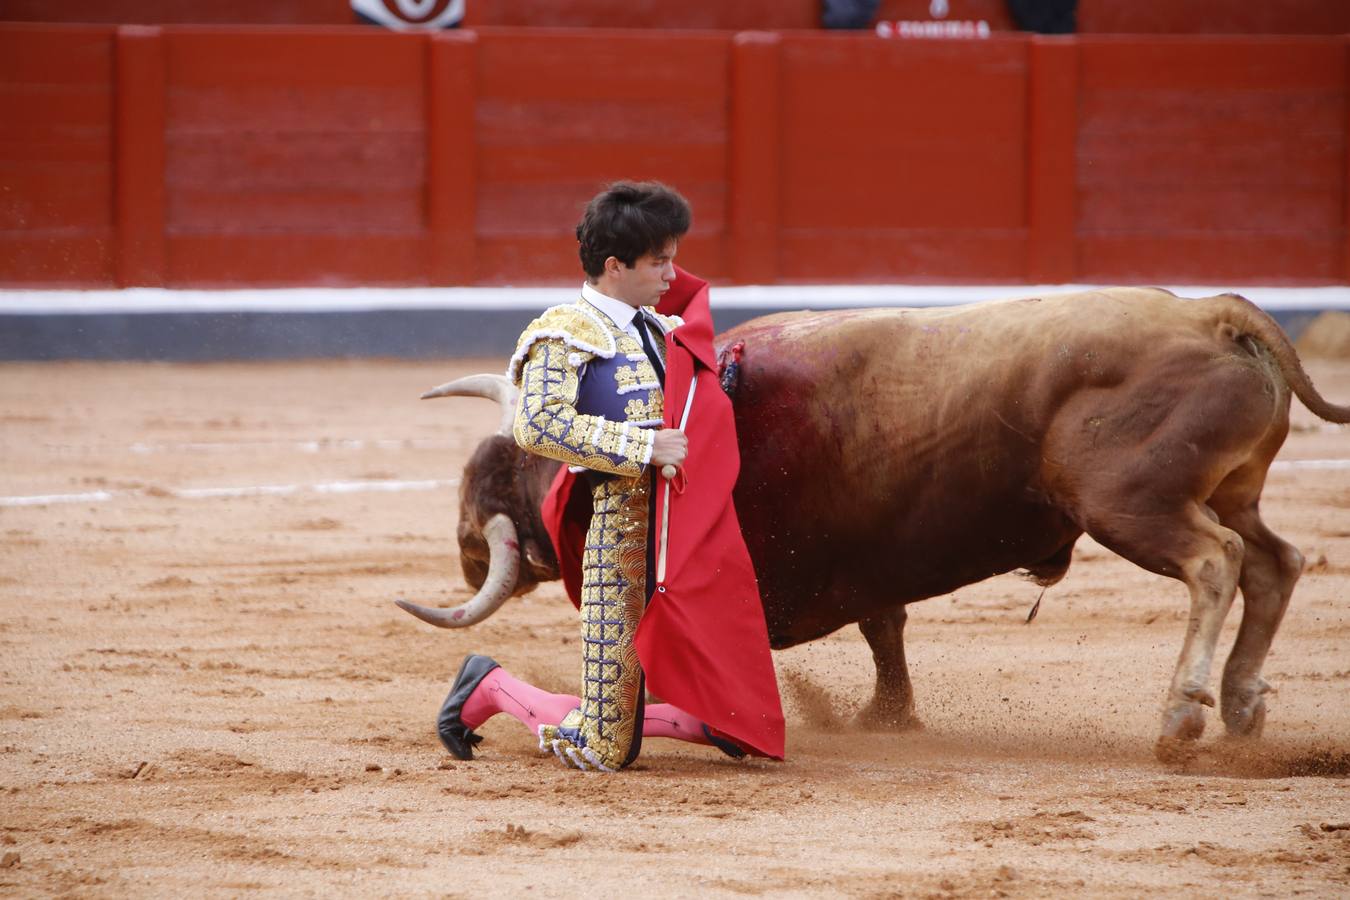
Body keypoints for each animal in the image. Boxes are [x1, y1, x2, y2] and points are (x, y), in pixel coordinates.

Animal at [394, 288, 1344, 761]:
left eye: (485, 508)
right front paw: (888, 716)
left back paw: (1183, 715)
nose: (465, 550)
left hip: (1130, 504)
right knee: (1277, 560)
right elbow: (886, 630)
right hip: (1228, 491)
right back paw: (1243, 702)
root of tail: (1219, 313)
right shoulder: (866, 568)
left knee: (1217, 562)